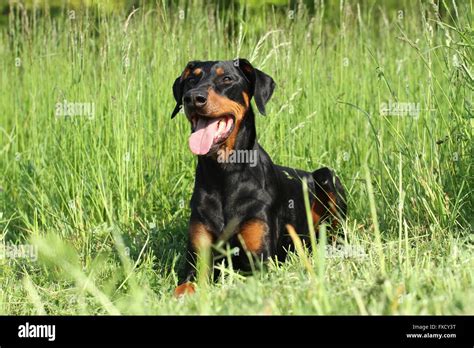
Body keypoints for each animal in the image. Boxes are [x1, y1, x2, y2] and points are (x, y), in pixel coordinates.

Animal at [170, 57, 344, 296]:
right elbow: (183, 287)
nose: (193, 98)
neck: (224, 174)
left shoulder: (260, 260)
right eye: (191, 79)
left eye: (227, 78)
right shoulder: (197, 259)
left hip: (326, 177)